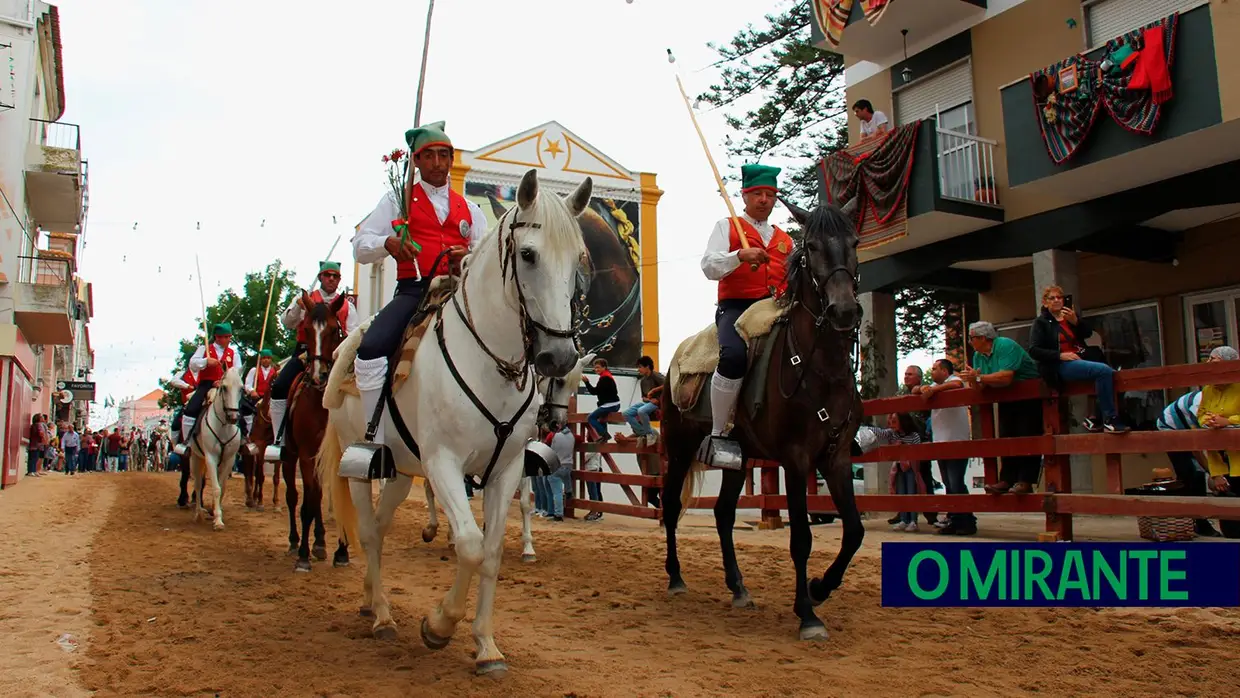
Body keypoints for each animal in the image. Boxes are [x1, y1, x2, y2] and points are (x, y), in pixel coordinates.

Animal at [188, 369, 244, 533]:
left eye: (241, 389)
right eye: (224, 387)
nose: (233, 417)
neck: (224, 426)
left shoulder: (229, 460)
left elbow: (222, 487)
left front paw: (216, 513)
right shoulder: (211, 458)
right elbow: (216, 488)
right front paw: (218, 521)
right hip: (196, 458)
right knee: (198, 485)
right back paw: (198, 514)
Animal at [421, 354, 595, 562]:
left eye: (575, 386)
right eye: (560, 381)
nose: (557, 423)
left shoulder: (518, 460)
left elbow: (524, 504)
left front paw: (527, 548)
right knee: (432, 490)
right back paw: (435, 531)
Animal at [659, 199, 863, 639]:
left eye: (855, 241)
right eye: (812, 247)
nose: (843, 310)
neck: (820, 367)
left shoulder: (837, 458)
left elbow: (854, 531)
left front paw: (820, 588)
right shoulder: (796, 459)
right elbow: (801, 537)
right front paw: (808, 614)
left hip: (738, 459)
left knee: (723, 514)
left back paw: (738, 587)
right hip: (679, 447)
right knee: (669, 505)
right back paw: (676, 578)